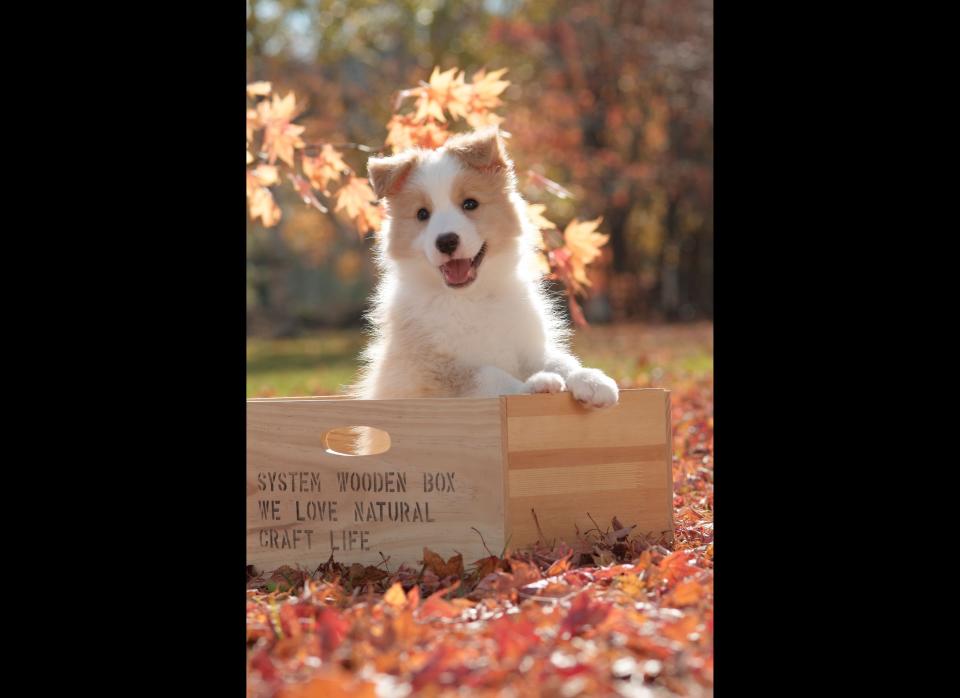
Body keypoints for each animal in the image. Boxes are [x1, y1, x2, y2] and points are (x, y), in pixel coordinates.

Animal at [350, 127, 616, 408]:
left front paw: (593, 380)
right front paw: (533, 386)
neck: (471, 298)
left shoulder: (528, 347)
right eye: (422, 214)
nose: (446, 241)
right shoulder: (431, 373)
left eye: (470, 204)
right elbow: (488, 374)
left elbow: (561, 360)